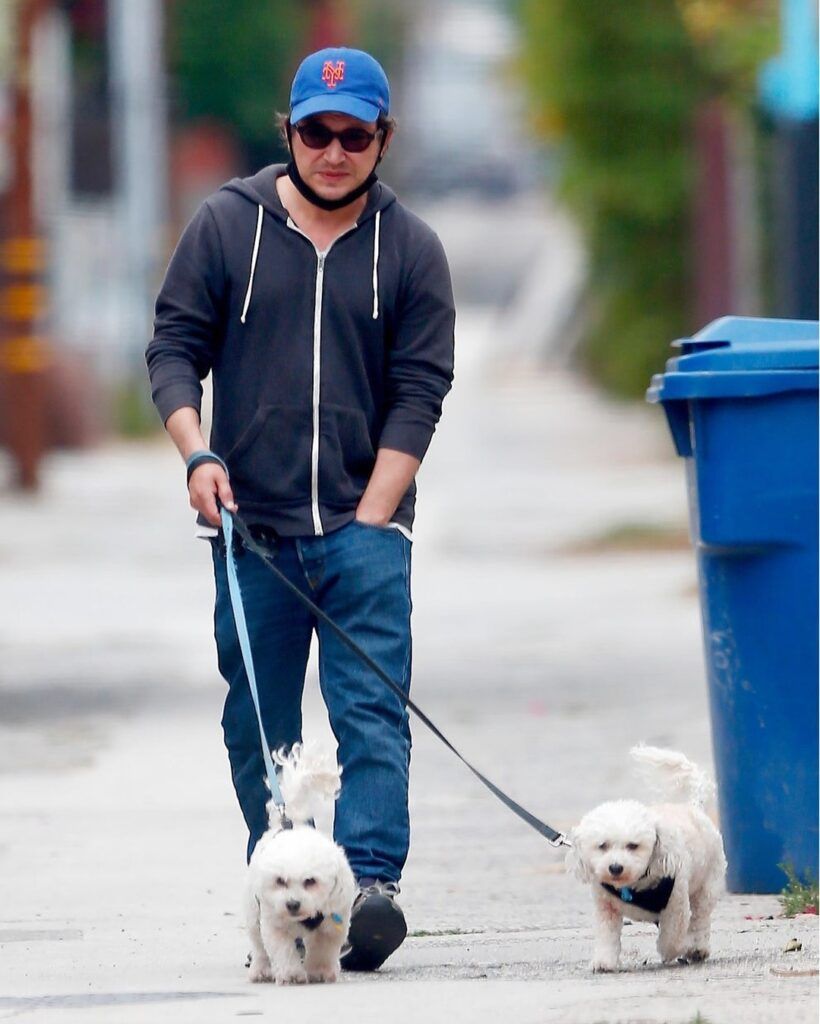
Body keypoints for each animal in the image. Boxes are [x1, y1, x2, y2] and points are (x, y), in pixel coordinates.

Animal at [244, 745, 356, 983]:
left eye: (310, 881)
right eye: (280, 881)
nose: (292, 904)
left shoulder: (333, 922)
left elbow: (324, 947)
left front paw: (320, 970)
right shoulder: (273, 922)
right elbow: (282, 949)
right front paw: (292, 973)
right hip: (252, 911)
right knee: (259, 945)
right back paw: (260, 969)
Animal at [565, 749, 724, 970]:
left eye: (633, 845)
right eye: (602, 845)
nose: (615, 867)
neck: (633, 886)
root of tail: (693, 808)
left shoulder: (676, 905)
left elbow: (672, 937)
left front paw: (671, 951)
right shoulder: (606, 909)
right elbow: (607, 936)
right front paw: (604, 961)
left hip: (707, 886)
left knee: (700, 918)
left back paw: (696, 948)